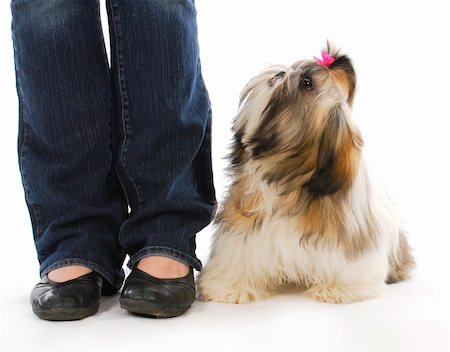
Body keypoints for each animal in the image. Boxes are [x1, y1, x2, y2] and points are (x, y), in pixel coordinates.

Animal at [198, 44, 414, 302]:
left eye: (306, 83)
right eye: (293, 69)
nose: (281, 72)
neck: (286, 176)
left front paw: (338, 289)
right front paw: (230, 287)